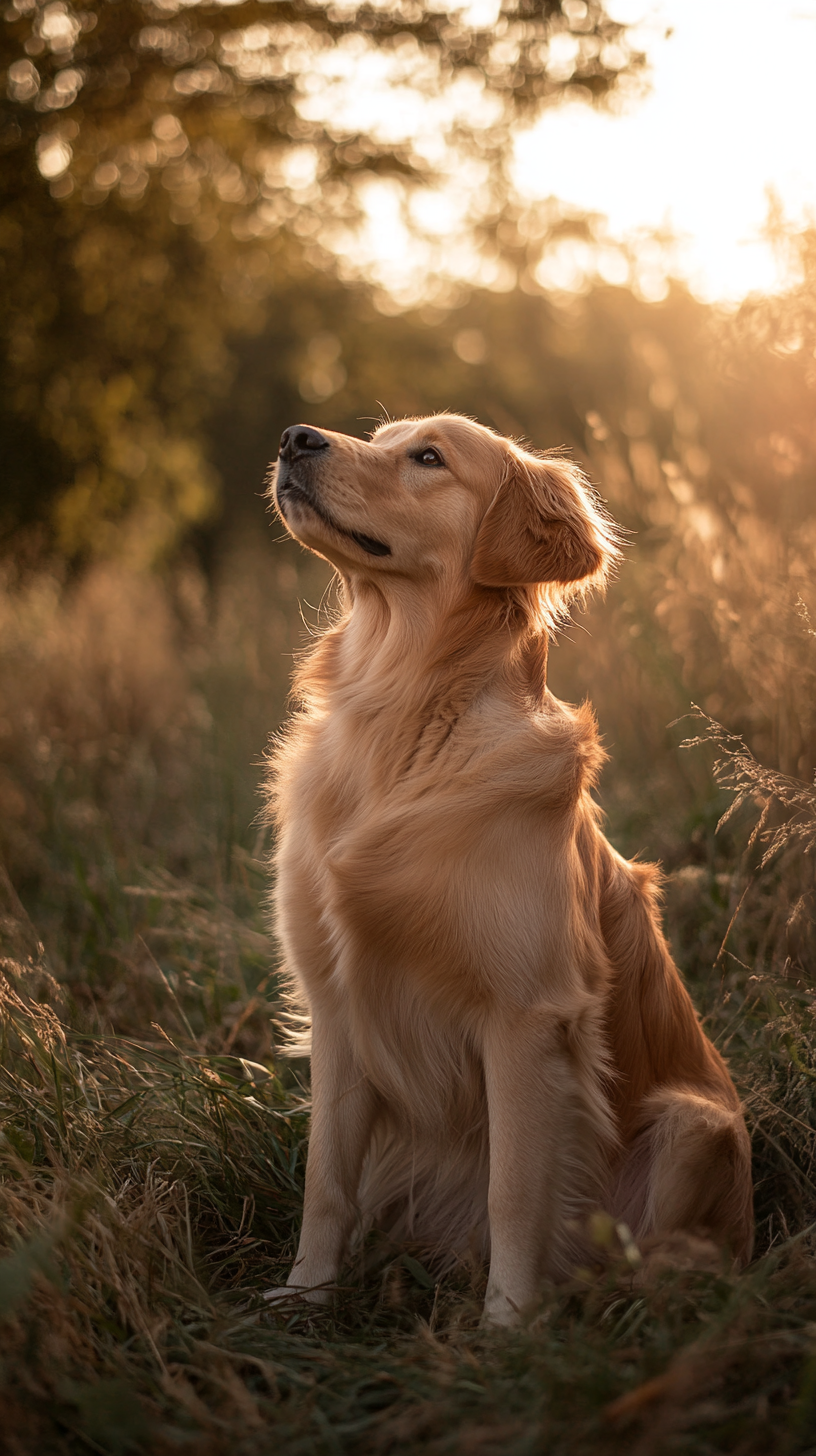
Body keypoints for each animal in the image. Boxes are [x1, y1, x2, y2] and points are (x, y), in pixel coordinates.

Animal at [265, 416, 757, 1327]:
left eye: (428, 457)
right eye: (379, 435)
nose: (295, 437)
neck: (405, 715)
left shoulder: (528, 1019)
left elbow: (517, 1194)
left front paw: (506, 1331)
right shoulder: (337, 1007)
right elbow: (327, 1178)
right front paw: (306, 1296)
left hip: (690, 1126)